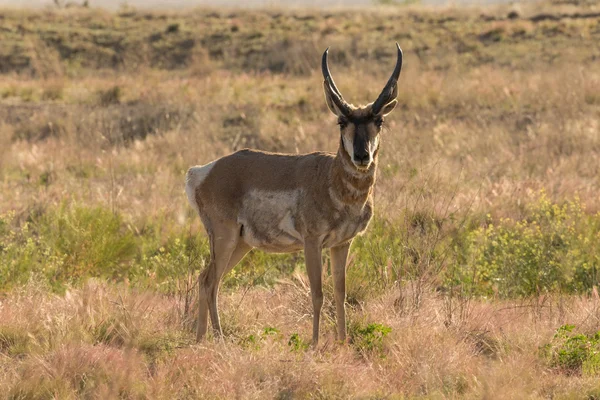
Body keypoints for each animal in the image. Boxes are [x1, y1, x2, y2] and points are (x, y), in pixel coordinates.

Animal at [188, 43, 404, 344]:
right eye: (341, 121)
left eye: (379, 120)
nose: (362, 156)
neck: (330, 178)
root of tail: (203, 171)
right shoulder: (312, 243)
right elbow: (318, 294)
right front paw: (314, 344)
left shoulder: (341, 244)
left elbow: (340, 293)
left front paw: (342, 342)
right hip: (225, 238)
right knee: (209, 281)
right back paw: (217, 339)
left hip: (240, 244)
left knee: (207, 279)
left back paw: (202, 340)